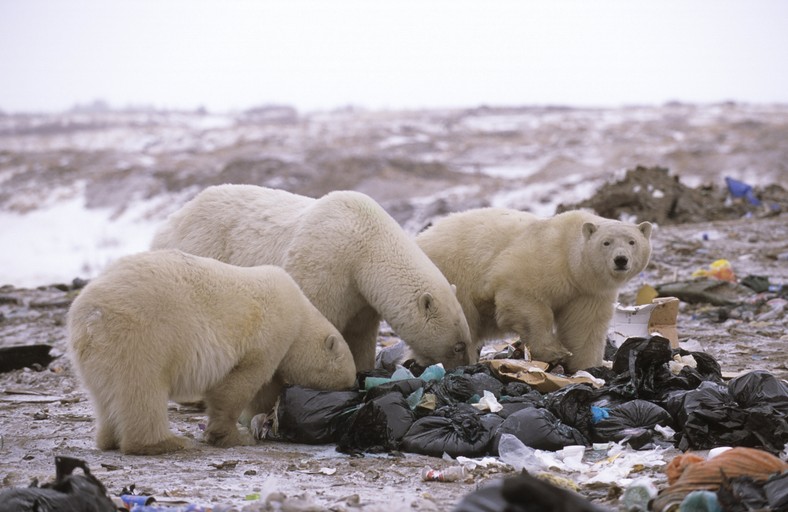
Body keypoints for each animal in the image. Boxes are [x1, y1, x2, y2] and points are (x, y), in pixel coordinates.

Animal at [66, 250, 356, 454]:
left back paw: (108, 439)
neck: (300, 315)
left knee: (104, 395)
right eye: (347, 381)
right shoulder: (269, 335)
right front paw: (233, 435)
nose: (350, 390)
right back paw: (164, 443)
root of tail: (90, 314)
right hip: (142, 336)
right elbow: (239, 384)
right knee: (142, 389)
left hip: (94, 351)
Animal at [152, 184, 474, 372]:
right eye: (459, 345)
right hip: (201, 255)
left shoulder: (361, 296)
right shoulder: (326, 263)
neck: (366, 245)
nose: (468, 367)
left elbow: (360, 336)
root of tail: (169, 221)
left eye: (468, 339)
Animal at [412, 208, 652, 372]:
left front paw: (587, 366)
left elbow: (584, 325)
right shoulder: (541, 260)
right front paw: (555, 352)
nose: (621, 260)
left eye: (632, 242)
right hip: (450, 279)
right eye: (606, 242)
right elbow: (524, 299)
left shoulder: (588, 292)